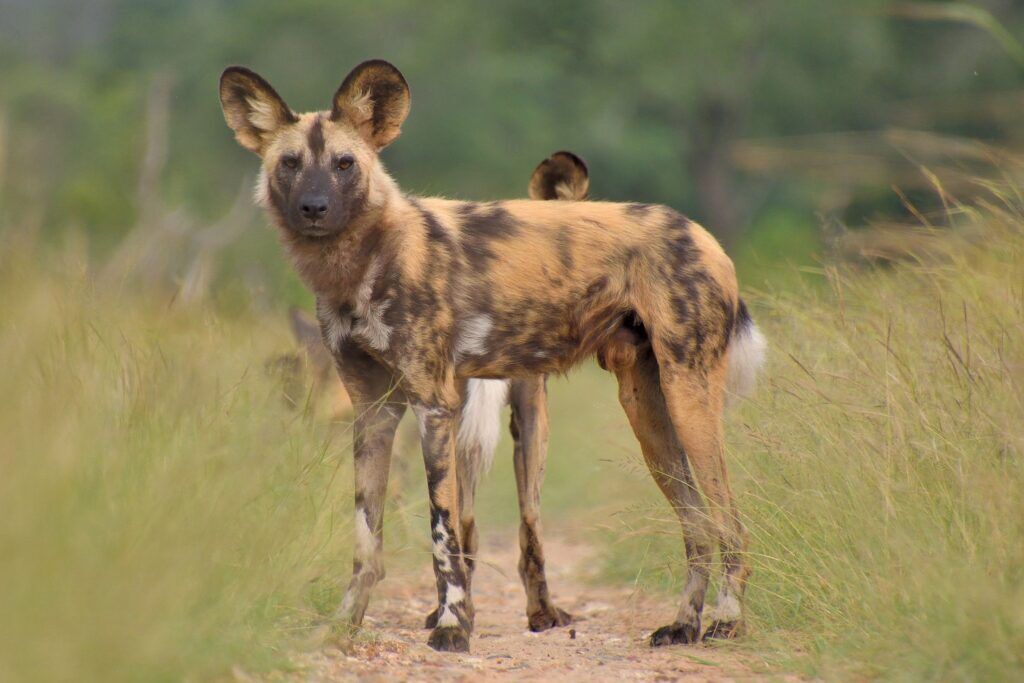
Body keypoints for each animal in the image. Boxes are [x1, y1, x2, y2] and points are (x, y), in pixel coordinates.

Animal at [224, 61, 770, 655]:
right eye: (290, 164)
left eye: (344, 164)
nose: (314, 209)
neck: (363, 264)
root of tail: (702, 233)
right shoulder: (372, 413)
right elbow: (367, 539)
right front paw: (345, 624)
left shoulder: (434, 406)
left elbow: (443, 534)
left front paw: (450, 628)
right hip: (648, 413)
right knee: (697, 527)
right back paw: (684, 625)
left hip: (687, 401)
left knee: (729, 525)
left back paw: (727, 621)